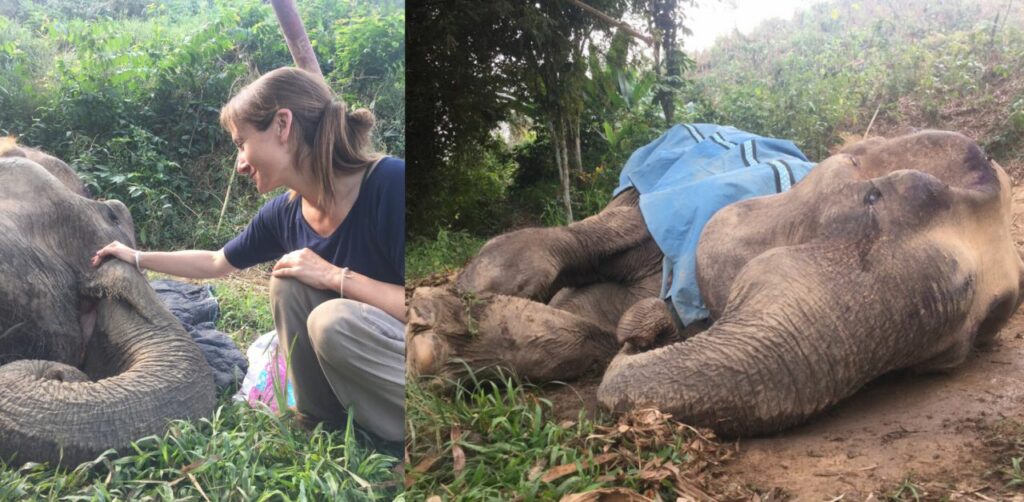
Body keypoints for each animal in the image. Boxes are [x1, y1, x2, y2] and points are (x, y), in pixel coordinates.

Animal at [407, 129, 1024, 434]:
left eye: (952, 352)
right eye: (874, 197)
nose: (644, 339)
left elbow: (592, 330)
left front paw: (635, 331)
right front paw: (440, 319)